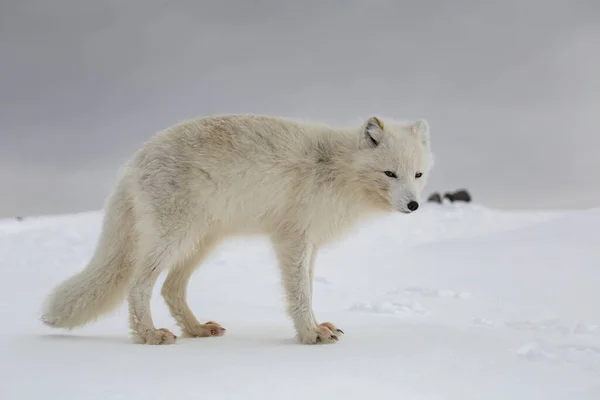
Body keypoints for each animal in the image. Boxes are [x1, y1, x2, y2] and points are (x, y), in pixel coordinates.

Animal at [43, 112, 436, 344]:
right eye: (389, 173)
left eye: (418, 175)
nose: (414, 206)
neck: (337, 169)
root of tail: (133, 160)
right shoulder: (292, 240)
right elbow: (299, 294)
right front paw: (309, 334)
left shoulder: (311, 244)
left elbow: (309, 289)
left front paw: (316, 326)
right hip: (174, 239)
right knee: (139, 286)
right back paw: (149, 334)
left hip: (201, 243)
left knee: (171, 288)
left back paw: (196, 329)